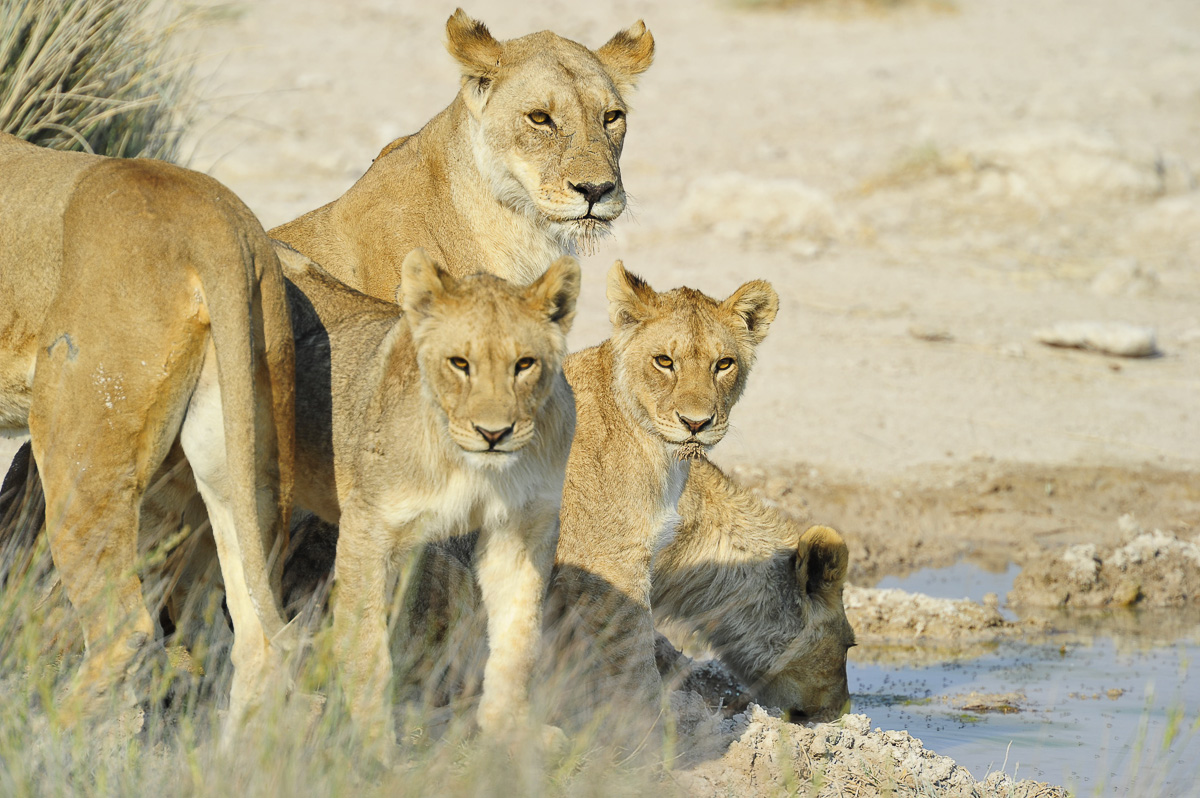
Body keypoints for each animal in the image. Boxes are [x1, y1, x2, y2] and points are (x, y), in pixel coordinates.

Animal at [0, 132, 295, 726]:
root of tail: (214, 220)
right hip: (243, 456)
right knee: (254, 640)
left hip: (79, 441)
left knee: (124, 630)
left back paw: (44, 733)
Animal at [274, 244, 579, 755]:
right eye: (459, 363)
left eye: (524, 364)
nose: (494, 434)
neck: (473, 470)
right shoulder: (369, 528)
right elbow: (368, 646)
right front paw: (373, 748)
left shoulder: (521, 528)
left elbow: (519, 638)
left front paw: (511, 731)